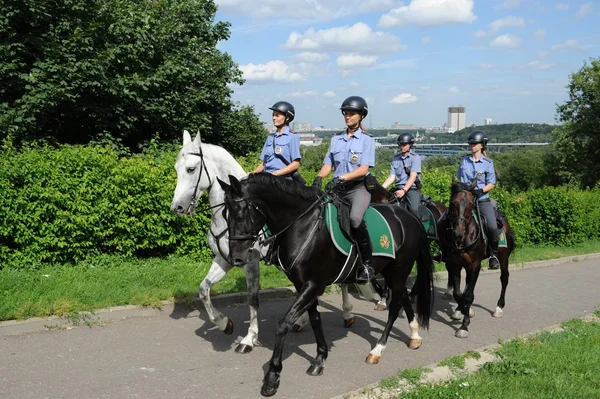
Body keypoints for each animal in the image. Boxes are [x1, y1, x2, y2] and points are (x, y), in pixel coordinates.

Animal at [218, 173, 434, 398]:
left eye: (241, 213)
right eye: (225, 214)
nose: (236, 258)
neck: (303, 226)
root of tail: (411, 217)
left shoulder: (313, 285)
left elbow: (283, 325)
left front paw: (272, 377)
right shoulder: (303, 285)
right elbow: (315, 320)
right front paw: (320, 359)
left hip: (399, 270)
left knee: (394, 307)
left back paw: (377, 350)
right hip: (391, 271)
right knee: (404, 298)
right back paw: (415, 336)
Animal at [438, 183, 516, 340]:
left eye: (470, 204)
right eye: (452, 203)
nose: (458, 233)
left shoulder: (474, 265)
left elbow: (468, 295)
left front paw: (464, 326)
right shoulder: (454, 264)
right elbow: (458, 293)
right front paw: (461, 311)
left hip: (503, 257)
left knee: (504, 278)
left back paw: (499, 308)